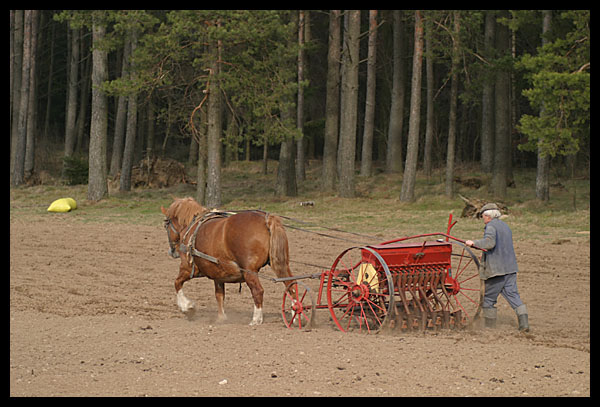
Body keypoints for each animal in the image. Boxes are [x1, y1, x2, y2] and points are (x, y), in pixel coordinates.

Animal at [161, 198, 296, 326]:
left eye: (166, 224)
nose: (172, 251)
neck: (191, 227)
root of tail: (266, 219)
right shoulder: (218, 274)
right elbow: (219, 295)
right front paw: (221, 318)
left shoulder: (187, 268)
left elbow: (177, 283)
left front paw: (187, 308)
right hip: (280, 264)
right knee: (291, 285)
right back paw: (295, 314)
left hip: (249, 272)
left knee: (258, 291)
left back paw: (256, 319)